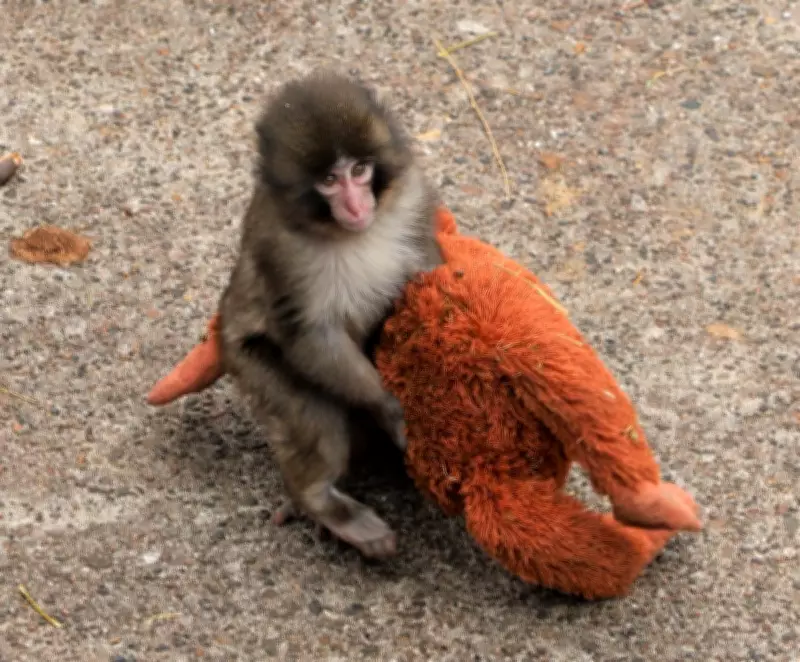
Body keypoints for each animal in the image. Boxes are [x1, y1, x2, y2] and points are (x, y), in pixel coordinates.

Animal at [218, 70, 443, 558]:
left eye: (359, 171)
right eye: (327, 180)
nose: (357, 206)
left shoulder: (413, 197)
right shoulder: (281, 248)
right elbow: (309, 334)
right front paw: (391, 408)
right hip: (248, 363)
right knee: (313, 415)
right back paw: (321, 502)